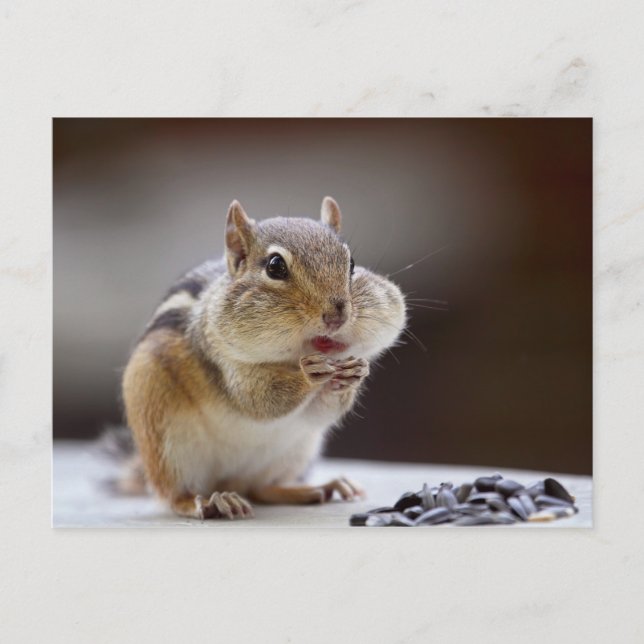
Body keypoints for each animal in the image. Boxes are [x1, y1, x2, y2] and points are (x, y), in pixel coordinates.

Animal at [122, 197, 406, 519]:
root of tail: (229, 481)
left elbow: (322, 411)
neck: (287, 360)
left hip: (296, 451)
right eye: (275, 266)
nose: (337, 315)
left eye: (352, 264)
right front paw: (309, 375)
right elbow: (259, 399)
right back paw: (208, 501)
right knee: (173, 495)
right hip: (164, 441)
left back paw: (319, 487)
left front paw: (354, 375)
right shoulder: (225, 363)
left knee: (260, 488)